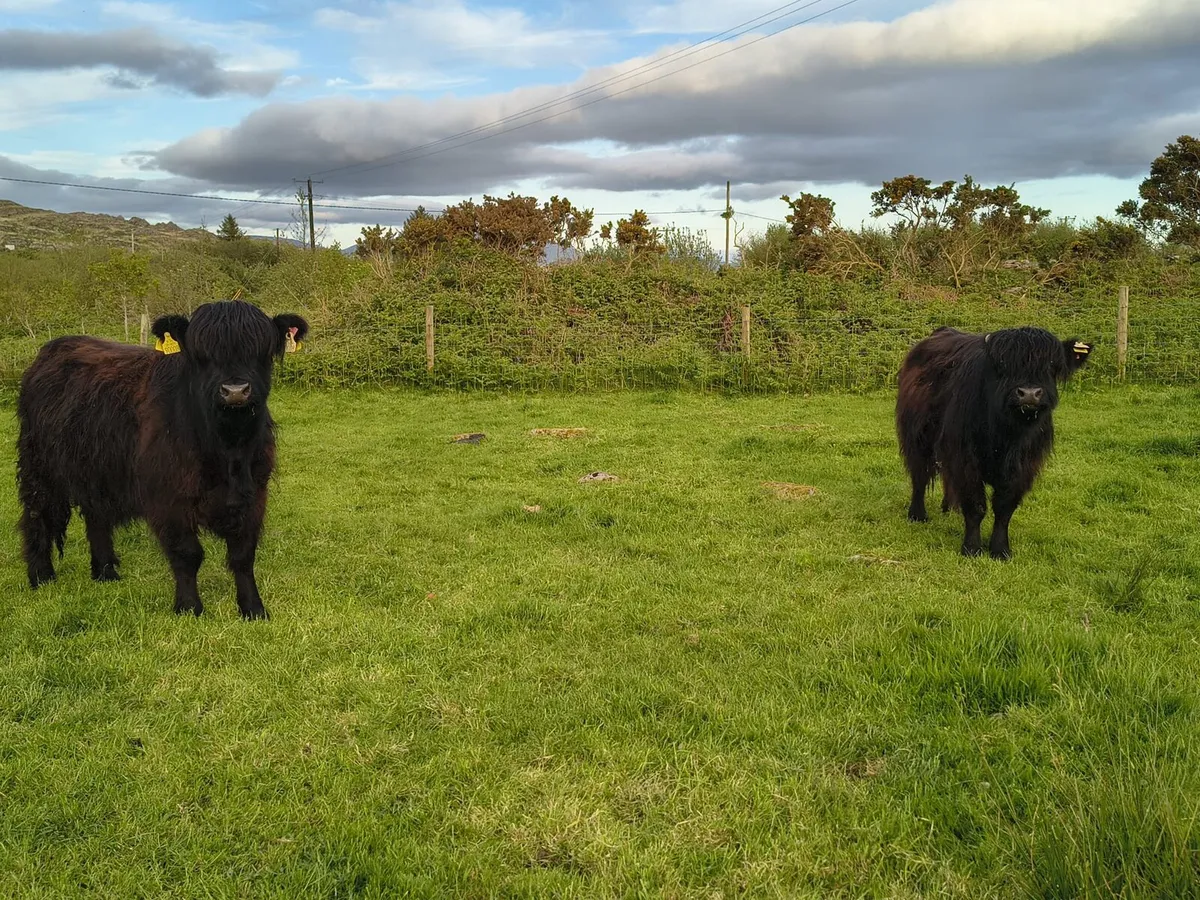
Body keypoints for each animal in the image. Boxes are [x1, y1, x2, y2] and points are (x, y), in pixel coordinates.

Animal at [16, 299, 309, 619]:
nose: (235, 391)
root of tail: (53, 348)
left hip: (97, 471)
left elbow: (243, 555)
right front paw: (189, 607)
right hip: (39, 467)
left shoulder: (254, 493)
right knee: (37, 516)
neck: (227, 450)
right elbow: (187, 553)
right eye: (200, 355)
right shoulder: (168, 498)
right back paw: (41, 576)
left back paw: (106, 572)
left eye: (261, 351)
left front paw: (253, 608)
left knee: (96, 517)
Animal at [896, 325, 1092, 560]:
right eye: (1005, 365)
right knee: (920, 475)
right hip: (918, 438)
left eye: (1052, 364)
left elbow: (1004, 508)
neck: (1007, 435)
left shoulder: (1024, 466)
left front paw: (1000, 549)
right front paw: (971, 547)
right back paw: (917, 514)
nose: (1029, 394)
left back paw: (950, 507)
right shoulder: (965, 458)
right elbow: (976, 505)